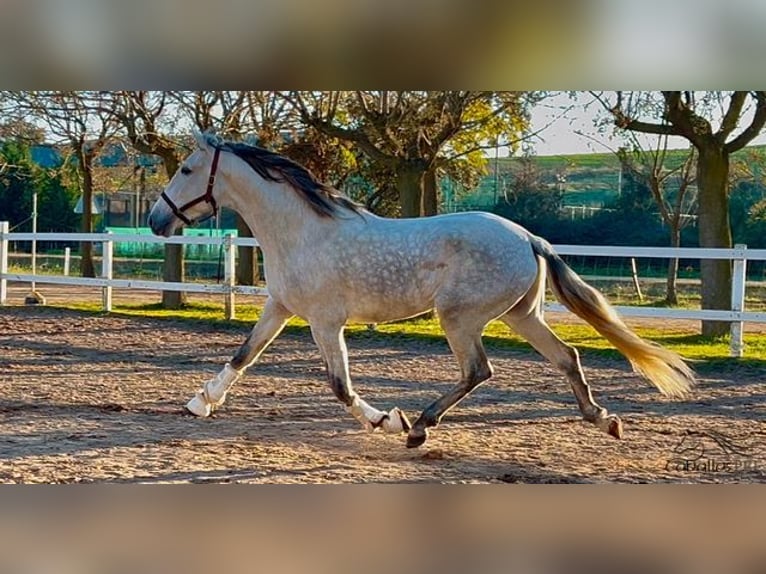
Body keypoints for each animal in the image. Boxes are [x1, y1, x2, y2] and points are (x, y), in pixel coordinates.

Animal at [148, 134, 696, 450]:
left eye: (187, 170)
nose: (156, 221)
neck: (303, 231)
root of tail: (528, 237)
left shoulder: (325, 321)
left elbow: (340, 385)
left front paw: (386, 421)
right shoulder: (280, 307)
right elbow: (243, 355)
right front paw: (200, 403)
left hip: (460, 317)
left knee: (479, 370)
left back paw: (418, 426)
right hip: (521, 314)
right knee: (568, 357)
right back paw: (603, 420)